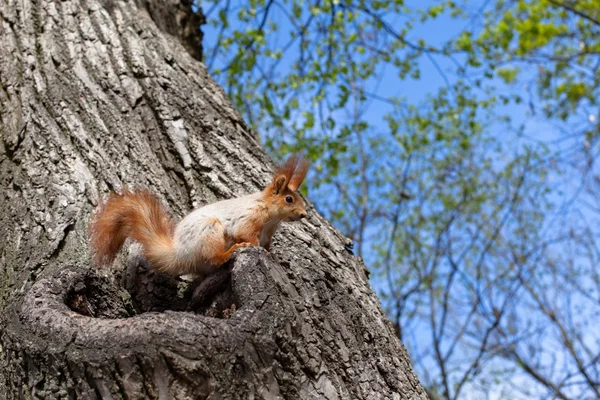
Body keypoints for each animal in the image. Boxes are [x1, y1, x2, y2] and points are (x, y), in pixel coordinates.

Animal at [91, 154, 312, 278]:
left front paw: (272, 255)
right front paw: (253, 247)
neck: (272, 219)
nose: (303, 214)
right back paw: (229, 252)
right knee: (214, 257)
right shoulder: (249, 218)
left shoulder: (268, 233)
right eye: (289, 199)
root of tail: (179, 253)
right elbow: (245, 233)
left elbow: (266, 245)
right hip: (209, 231)